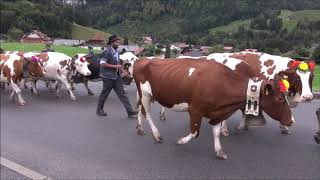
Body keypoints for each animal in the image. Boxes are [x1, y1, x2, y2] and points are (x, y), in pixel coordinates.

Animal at [132, 57, 292, 159]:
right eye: (280, 99)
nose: (291, 121)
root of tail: (142, 59)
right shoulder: (195, 110)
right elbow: (194, 133)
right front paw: (180, 141)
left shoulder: (218, 113)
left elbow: (216, 132)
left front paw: (219, 151)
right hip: (144, 93)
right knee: (146, 113)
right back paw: (156, 135)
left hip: (148, 95)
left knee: (139, 110)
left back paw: (140, 129)